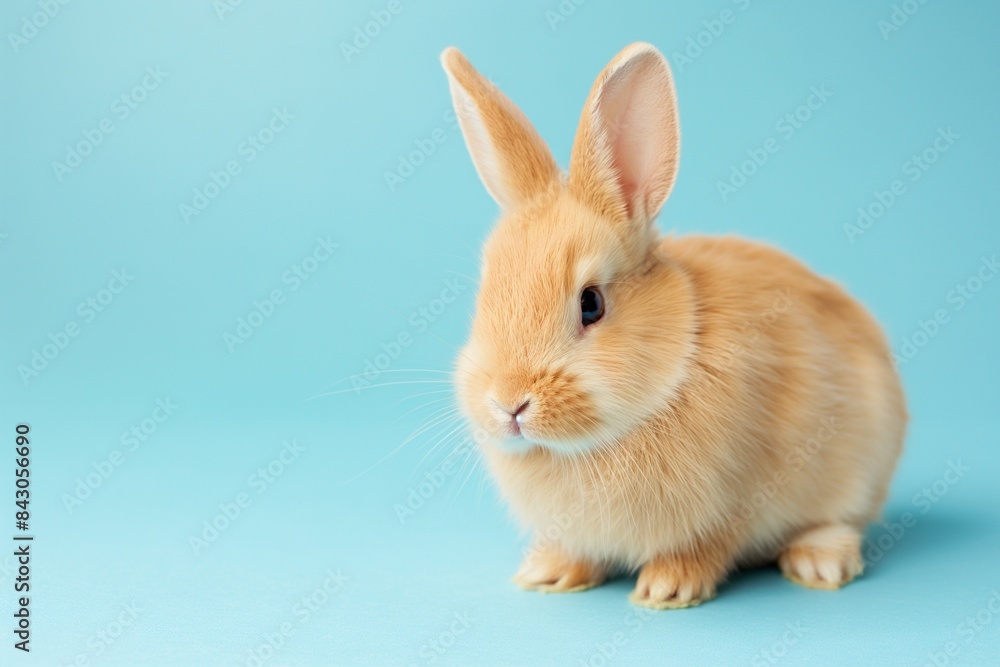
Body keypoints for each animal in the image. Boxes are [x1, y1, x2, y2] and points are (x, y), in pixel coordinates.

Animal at [440, 42, 907, 609]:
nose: (508, 404)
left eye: (591, 303)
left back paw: (820, 563)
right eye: (485, 296)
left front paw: (668, 588)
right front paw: (548, 572)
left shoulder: (735, 500)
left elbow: (709, 545)